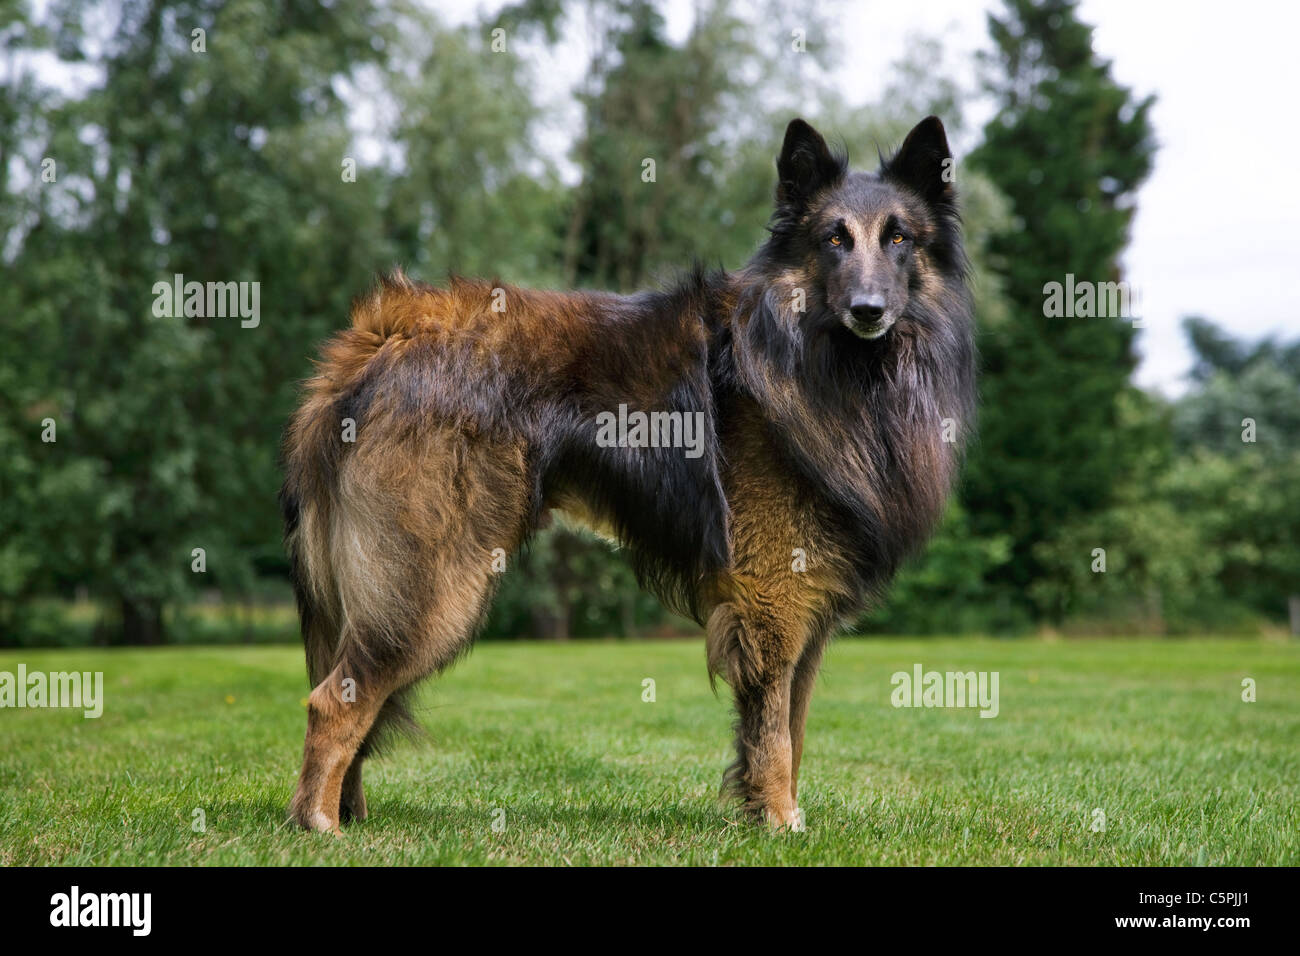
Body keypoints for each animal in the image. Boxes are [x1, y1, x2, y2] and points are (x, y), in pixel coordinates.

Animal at [284, 115, 977, 832]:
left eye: (899, 238)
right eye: (833, 239)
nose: (868, 309)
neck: (816, 359)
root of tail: (383, 332)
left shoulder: (803, 618)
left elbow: (794, 727)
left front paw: (773, 816)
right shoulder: (773, 604)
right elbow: (775, 735)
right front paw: (780, 823)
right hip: (432, 585)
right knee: (333, 702)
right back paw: (319, 825)